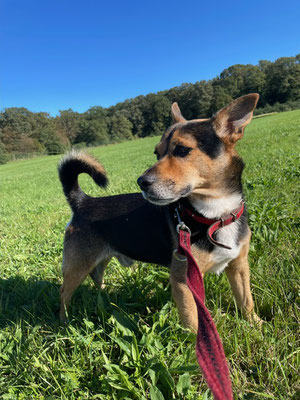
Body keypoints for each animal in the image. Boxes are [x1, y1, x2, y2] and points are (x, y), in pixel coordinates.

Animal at [57, 94, 262, 332]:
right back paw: (64, 323)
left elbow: (246, 300)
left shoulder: (239, 266)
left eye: (182, 150)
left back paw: (105, 299)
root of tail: (82, 202)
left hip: (99, 259)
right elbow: (193, 319)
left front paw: (256, 324)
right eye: (157, 153)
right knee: (64, 293)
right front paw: (193, 340)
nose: (141, 182)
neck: (214, 216)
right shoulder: (183, 280)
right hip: (76, 266)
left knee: (96, 277)